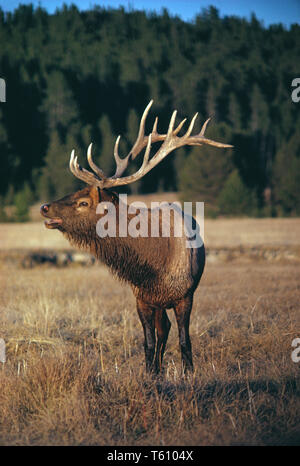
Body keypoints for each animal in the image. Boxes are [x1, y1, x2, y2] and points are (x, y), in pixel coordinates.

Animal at [39, 100, 232, 374]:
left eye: (83, 202)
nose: (44, 207)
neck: (154, 266)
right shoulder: (141, 297)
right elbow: (148, 342)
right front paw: (150, 374)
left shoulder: (185, 296)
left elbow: (185, 340)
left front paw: (189, 373)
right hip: (157, 302)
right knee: (163, 331)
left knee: (169, 330)